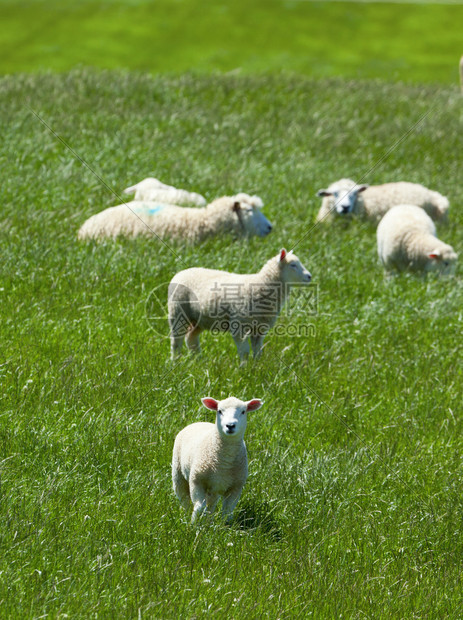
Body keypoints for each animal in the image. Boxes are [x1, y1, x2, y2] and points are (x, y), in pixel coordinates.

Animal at [169, 248, 314, 364]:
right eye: (293, 265)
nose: (309, 276)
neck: (261, 284)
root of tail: (180, 272)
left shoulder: (259, 327)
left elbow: (257, 350)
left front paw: (257, 367)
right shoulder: (238, 325)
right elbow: (244, 351)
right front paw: (243, 369)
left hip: (198, 319)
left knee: (191, 338)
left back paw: (198, 361)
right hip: (178, 312)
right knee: (176, 341)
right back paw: (176, 363)